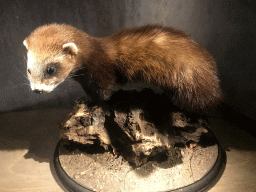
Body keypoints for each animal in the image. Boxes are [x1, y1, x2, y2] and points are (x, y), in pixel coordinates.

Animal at [22, 24, 222, 114]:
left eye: (50, 69)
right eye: (29, 70)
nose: (37, 90)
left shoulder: (101, 73)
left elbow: (103, 93)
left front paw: (91, 104)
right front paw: (83, 99)